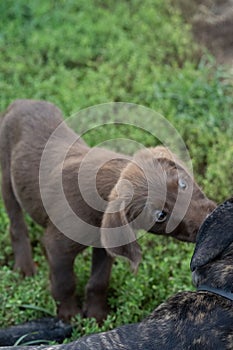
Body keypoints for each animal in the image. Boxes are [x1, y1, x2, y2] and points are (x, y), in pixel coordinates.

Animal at [0, 99, 215, 322]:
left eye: (183, 184)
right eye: (160, 216)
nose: (210, 219)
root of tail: (22, 101)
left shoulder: (105, 245)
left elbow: (99, 281)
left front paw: (97, 316)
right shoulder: (57, 247)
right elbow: (64, 283)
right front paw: (70, 316)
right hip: (7, 178)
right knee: (16, 226)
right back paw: (24, 269)